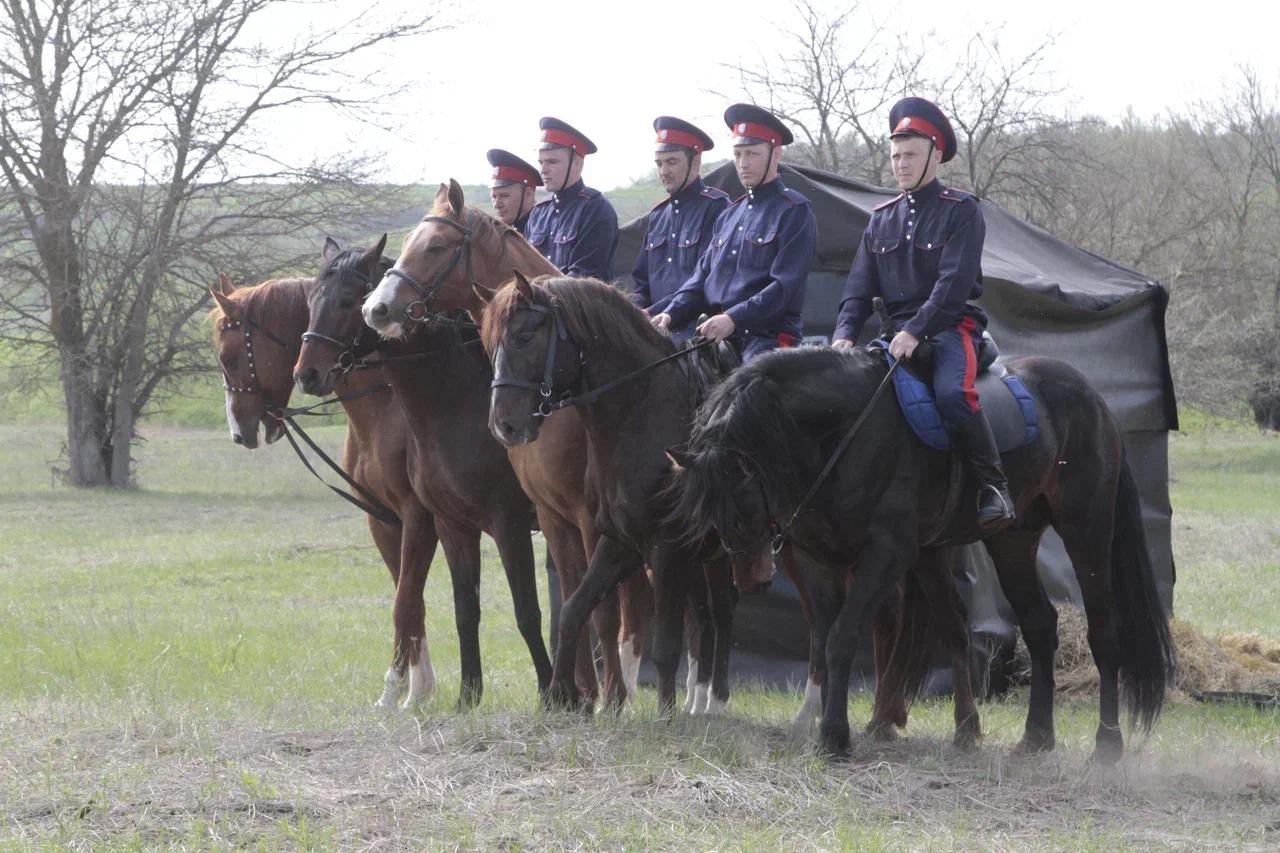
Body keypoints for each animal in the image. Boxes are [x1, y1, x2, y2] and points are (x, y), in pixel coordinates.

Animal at [294, 233, 555, 701]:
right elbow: (456, 608)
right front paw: (462, 695)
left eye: (348, 300)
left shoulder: (499, 524)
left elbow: (524, 609)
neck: (455, 403)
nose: (306, 374)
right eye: (311, 300)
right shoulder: (446, 524)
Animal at [478, 272, 742, 712]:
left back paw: (716, 701)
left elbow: (662, 643)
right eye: (489, 344)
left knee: (725, 613)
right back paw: (699, 698)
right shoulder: (618, 541)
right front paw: (559, 695)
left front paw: (662, 715)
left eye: (525, 337)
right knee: (704, 615)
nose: (504, 426)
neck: (644, 418)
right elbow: (574, 610)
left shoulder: (664, 549)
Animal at [675, 343, 1172, 758]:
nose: (751, 578)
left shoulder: (886, 554)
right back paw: (1035, 738)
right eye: (711, 513)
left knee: (1103, 632)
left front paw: (834, 736)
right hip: (1012, 542)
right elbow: (834, 636)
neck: (845, 433)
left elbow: (842, 637)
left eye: (741, 507)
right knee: (1039, 625)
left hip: (1087, 530)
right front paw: (959, 728)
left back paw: (1107, 745)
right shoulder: (826, 562)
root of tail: (1092, 397)